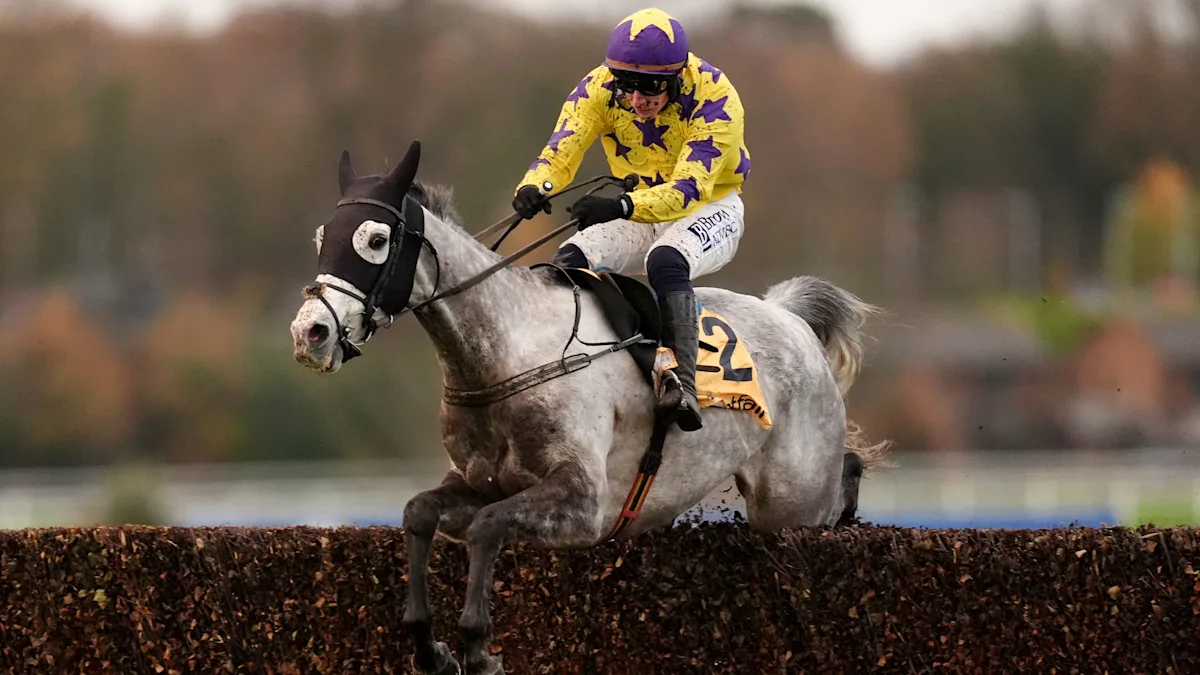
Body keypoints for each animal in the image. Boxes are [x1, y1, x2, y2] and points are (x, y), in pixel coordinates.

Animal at [289, 140, 890, 675]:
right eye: (321, 236)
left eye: (375, 239)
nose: (310, 333)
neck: (510, 353)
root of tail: (789, 316)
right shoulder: (482, 484)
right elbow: (420, 513)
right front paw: (430, 648)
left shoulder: (584, 504)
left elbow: (487, 528)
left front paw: (480, 649)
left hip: (792, 502)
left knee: (837, 484)